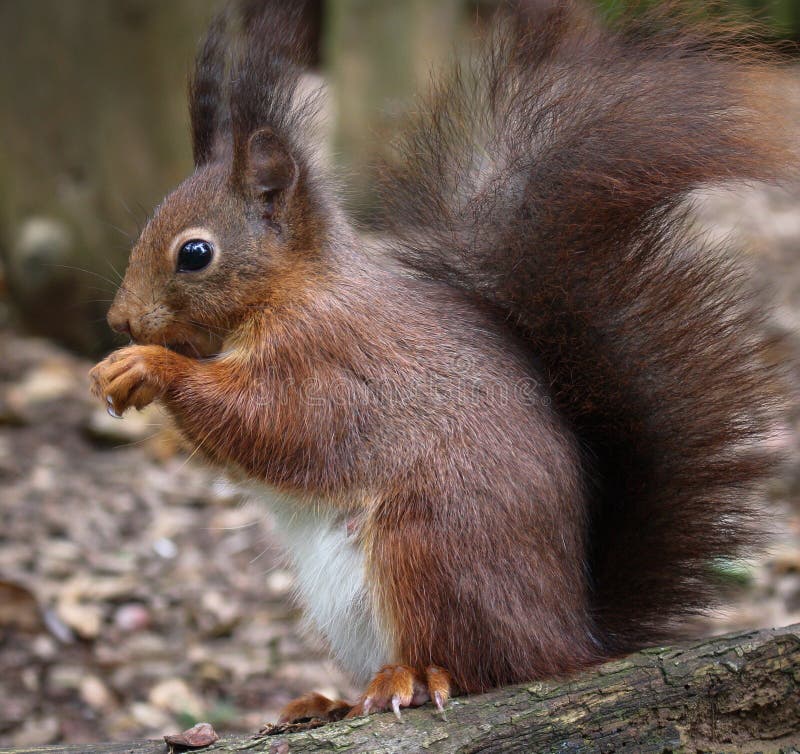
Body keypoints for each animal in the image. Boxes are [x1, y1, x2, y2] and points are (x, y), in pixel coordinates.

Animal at [90, 0, 793, 723]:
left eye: (195, 254)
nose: (120, 320)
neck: (296, 288)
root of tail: (571, 640)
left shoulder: (329, 358)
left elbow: (272, 424)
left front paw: (148, 366)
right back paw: (329, 702)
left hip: (428, 546)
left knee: (482, 665)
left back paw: (416, 678)